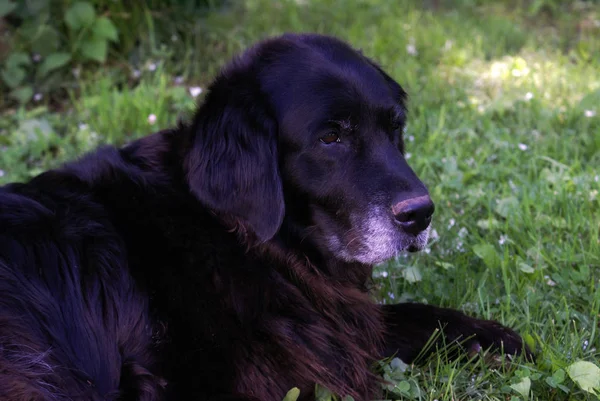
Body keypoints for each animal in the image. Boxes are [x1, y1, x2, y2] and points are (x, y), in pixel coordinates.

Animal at [0, 34, 528, 400]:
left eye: (394, 128)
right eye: (331, 137)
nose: (420, 214)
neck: (236, 233)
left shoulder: (324, 325)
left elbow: (400, 317)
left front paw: (491, 338)